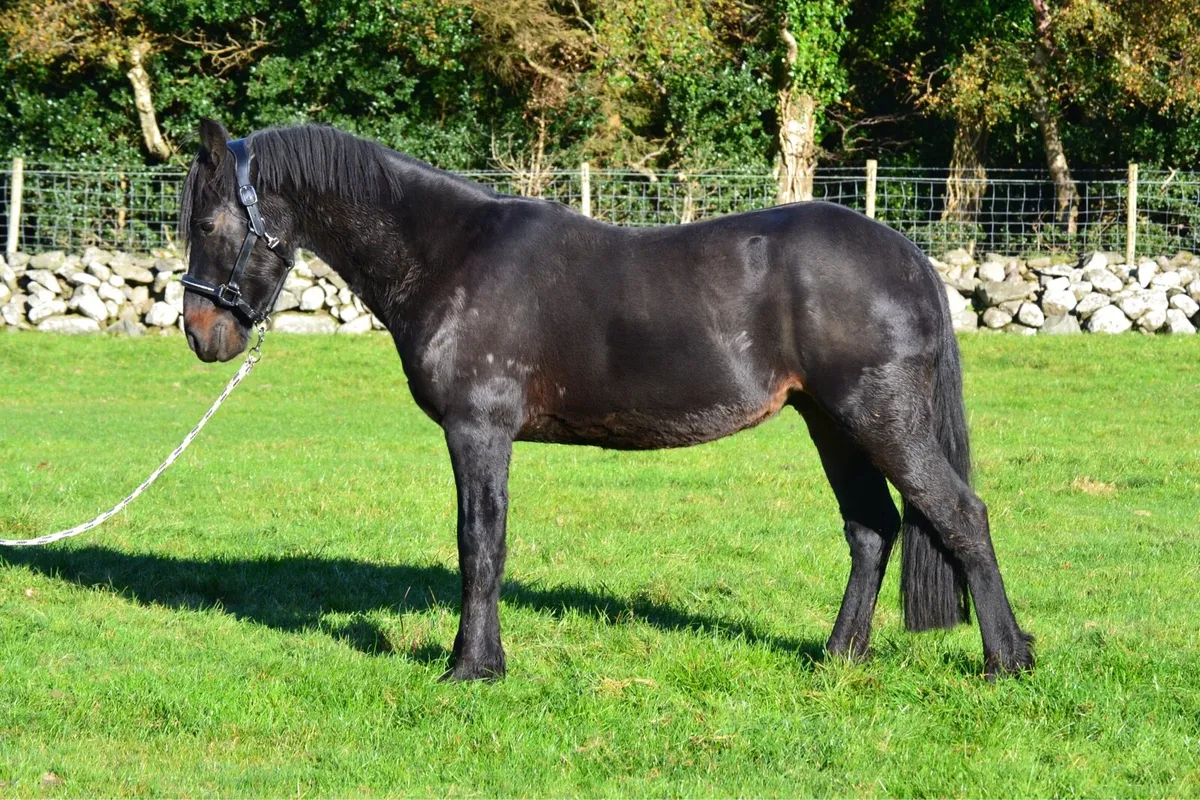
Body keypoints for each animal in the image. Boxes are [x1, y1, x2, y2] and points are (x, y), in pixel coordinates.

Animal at [179, 119, 1033, 681]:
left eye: (214, 221)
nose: (199, 331)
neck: (452, 256)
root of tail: (908, 256)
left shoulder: (478, 429)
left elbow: (480, 544)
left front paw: (472, 667)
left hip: (878, 417)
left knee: (960, 516)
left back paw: (1005, 661)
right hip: (831, 422)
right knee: (871, 529)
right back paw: (837, 659)